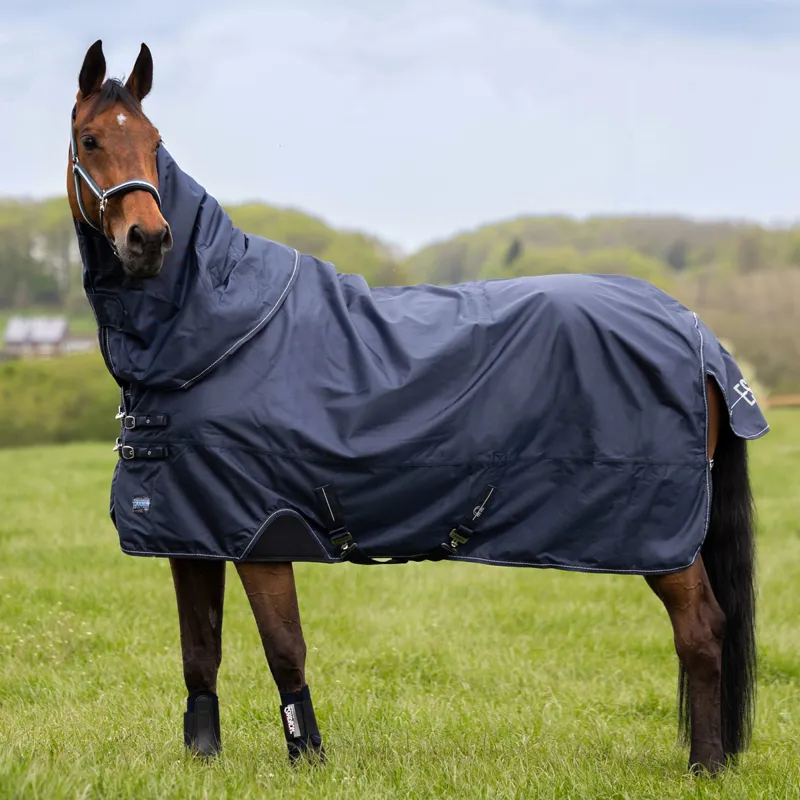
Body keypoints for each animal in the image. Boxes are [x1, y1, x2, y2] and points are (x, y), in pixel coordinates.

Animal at [66, 39, 764, 775]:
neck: (220, 329)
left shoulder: (261, 528)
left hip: (666, 539)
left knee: (701, 629)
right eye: (91, 139)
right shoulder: (193, 529)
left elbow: (285, 649)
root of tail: (696, 335)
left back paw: (707, 765)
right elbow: (200, 653)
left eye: (154, 142)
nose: (149, 240)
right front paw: (205, 758)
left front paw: (308, 756)